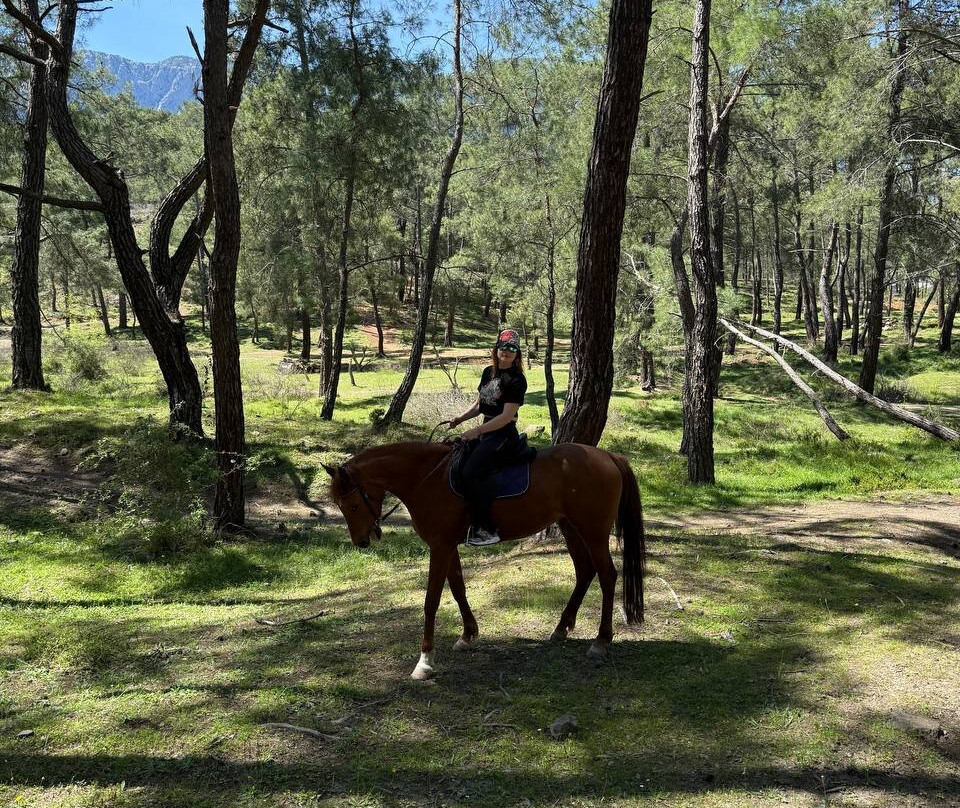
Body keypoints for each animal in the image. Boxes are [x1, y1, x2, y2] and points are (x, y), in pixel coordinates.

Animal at [323, 440, 645, 680]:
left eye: (353, 505)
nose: (361, 542)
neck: (426, 478)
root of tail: (607, 456)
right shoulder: (447, 546)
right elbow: (458, 589)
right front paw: (468, 635)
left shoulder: (439, 547)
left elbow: (431, 601)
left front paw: (424, 661)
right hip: (570, 528)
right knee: (585, 572)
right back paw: (561, 628)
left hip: (593, 532)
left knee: (607, 576)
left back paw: (601, 642)